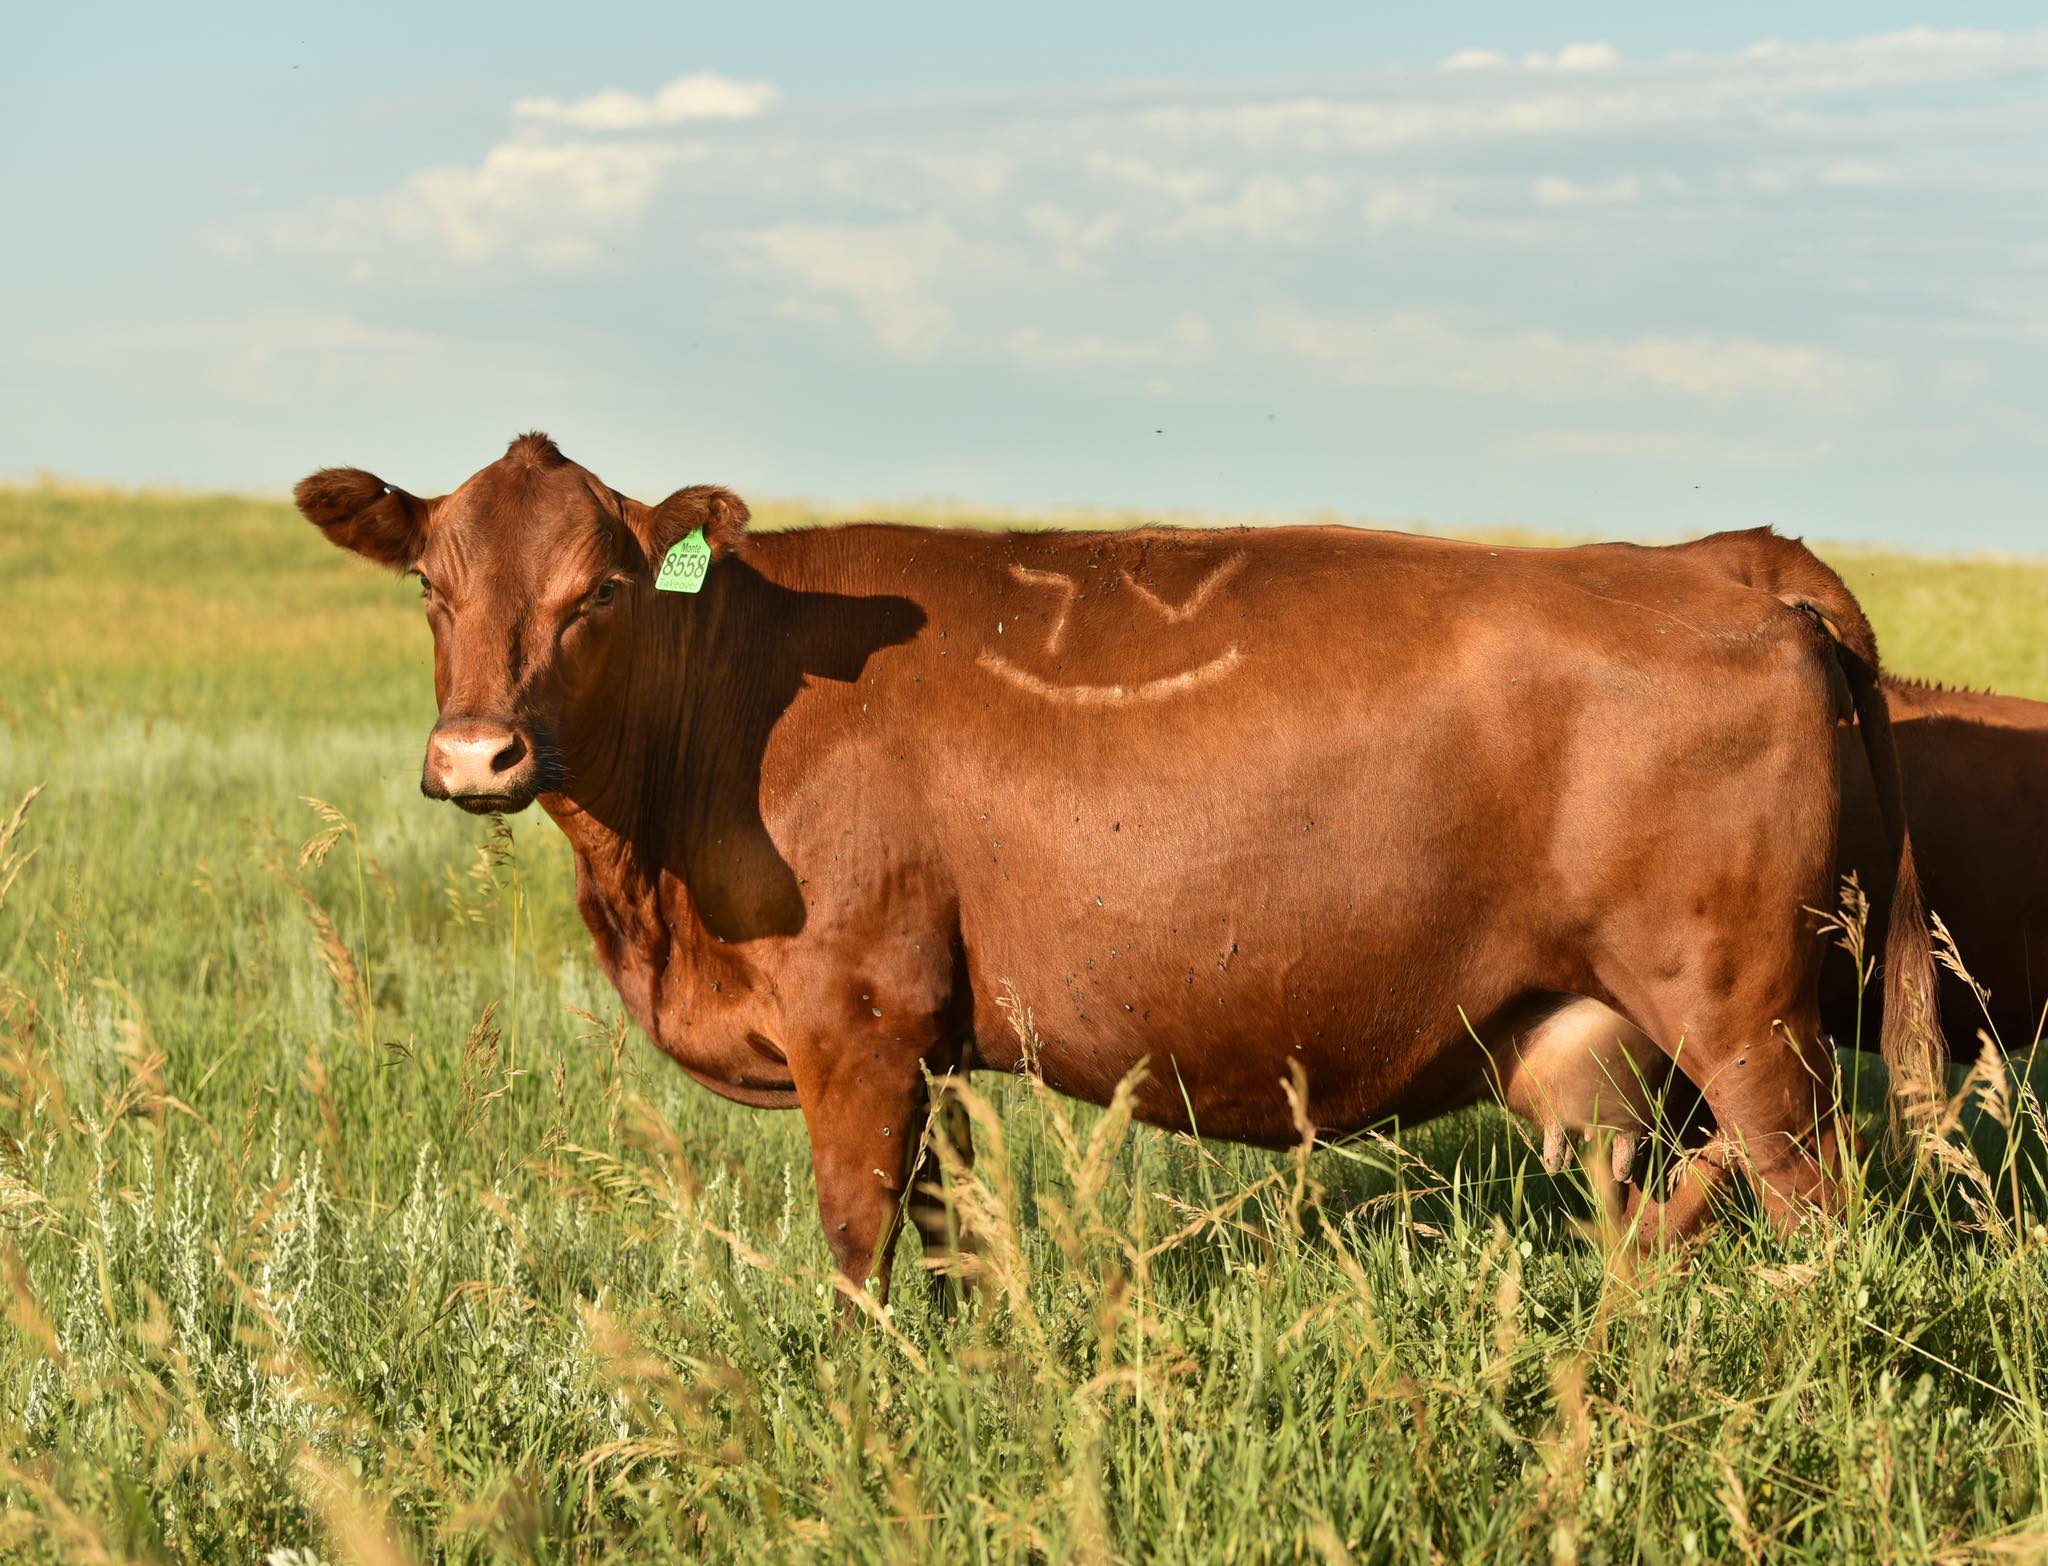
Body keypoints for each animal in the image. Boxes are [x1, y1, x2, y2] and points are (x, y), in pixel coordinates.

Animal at [294, 434, 1941, 1303]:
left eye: (599, 595)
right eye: (433, 582)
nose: (477, 756)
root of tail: (1724, 557)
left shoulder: (856, 1018)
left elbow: (855, 1242)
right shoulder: (932, 1041)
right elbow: (944, 1227)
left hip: (1747, 1015)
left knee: (1819, 1205)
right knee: (1697, 1197)